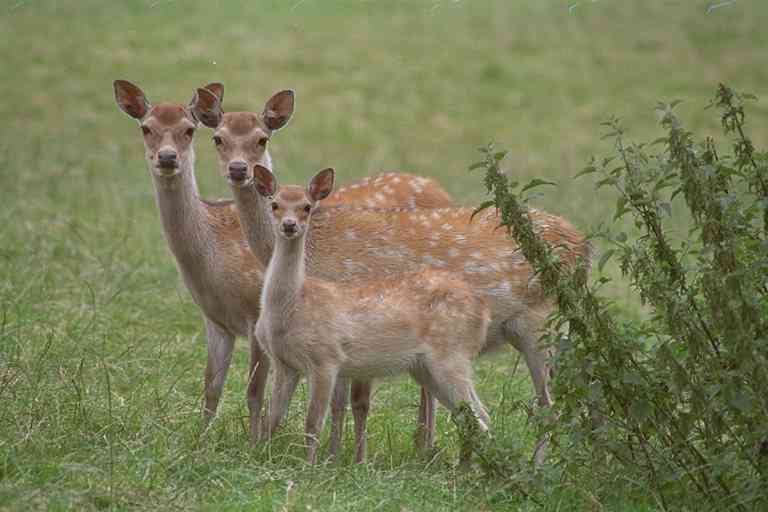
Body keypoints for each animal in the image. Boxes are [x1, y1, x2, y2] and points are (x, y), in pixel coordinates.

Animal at [111, 79, 452, 452]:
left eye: (189, 129)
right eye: (146, 128)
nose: (168, 157)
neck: (211, 257)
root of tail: (439, 187)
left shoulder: (255, 313)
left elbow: (254, 390)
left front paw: (255, 443)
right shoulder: (214, 321)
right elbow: (211, 387)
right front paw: (200, 443)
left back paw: (424, 444)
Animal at [254, 167, 492, 464]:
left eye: (307, 207)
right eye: (274, 204)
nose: (289, 225)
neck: (291, 306)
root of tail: (483, 311)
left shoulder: (326, 358)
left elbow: (313, 422)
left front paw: (309, 466)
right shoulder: (284, 363)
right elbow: (272, 417)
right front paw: (260, 455)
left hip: (451, 355)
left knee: (477, 417)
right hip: (426, 367)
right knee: (475, 415)